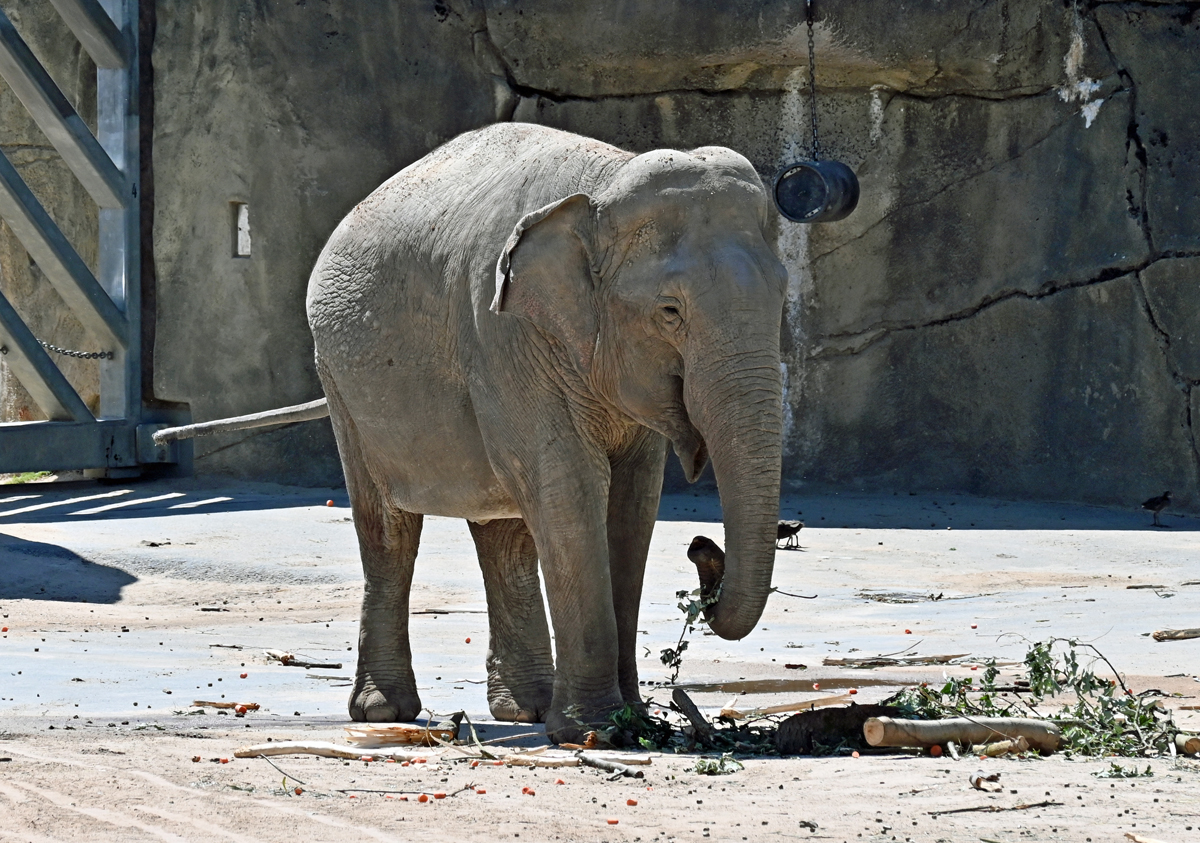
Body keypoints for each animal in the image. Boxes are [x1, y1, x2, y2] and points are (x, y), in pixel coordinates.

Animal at [304, 122, 787, 744]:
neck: (604, 183)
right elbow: (572, 485)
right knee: (388, 528)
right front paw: (599, 729)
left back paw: (525, 710)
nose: (703, 548)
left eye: (783, 294)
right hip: (341, 384)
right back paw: (385, 712)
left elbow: (633, 501)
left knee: (504, 529)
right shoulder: (506, 334)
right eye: (669, 311)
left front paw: (632, 720)